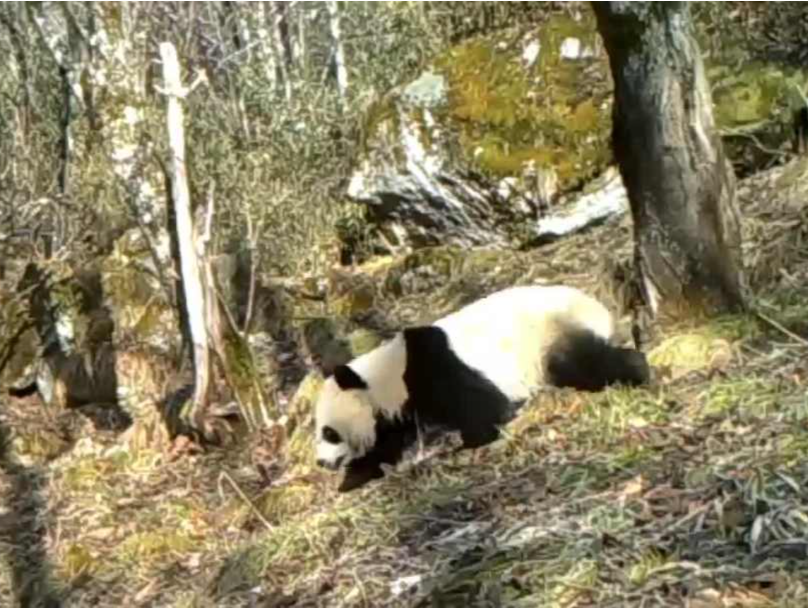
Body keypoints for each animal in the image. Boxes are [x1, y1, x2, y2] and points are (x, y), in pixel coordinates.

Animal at [310, 282, 652, 492]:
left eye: (329, 432)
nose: (321, 462)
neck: (386, 374)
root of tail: (601, 310)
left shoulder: (437, 369)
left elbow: (484, 409)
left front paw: (464, 443)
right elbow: (387, 441)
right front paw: (354, 477)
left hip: (546, 334)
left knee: (581, 362)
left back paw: (637, 372)